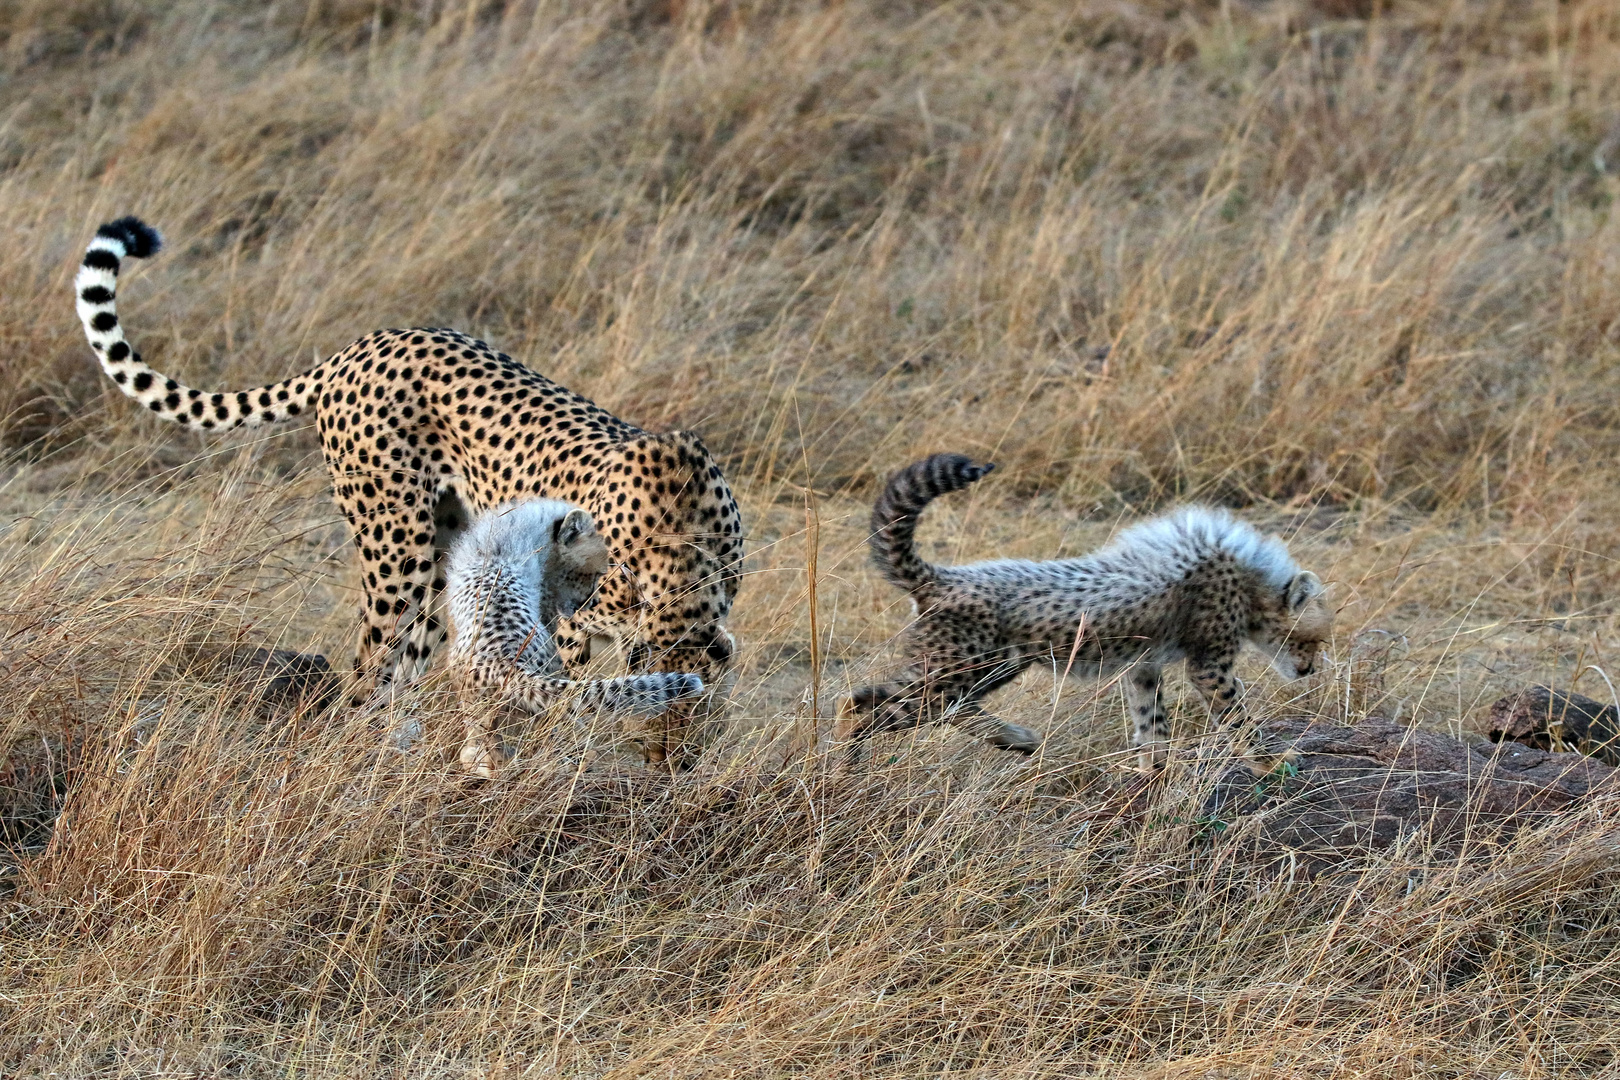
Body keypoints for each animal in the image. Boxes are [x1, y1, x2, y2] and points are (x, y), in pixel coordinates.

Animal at [71, 216, 741, 761]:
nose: (671, 762)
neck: (681, 551)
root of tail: (362, 344)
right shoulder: (575, 621)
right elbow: (571, 688)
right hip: (397, 550)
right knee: (370, 667)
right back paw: (366, 750)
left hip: (443, 550)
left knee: (410, 660)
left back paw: (400, 745)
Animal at [835, 453, 1328, 773]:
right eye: (1313, 640)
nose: (1310, 670)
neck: (1253, 580)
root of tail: (942, 576)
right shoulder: (1210, 667)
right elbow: (1239, 719)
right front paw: (1271, 762)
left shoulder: (1144, 666)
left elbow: (1150, 720)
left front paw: (1154, 769)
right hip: (965, 668)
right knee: (870, 706)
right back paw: (844, 766)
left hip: (983, 667)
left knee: (892, 701)